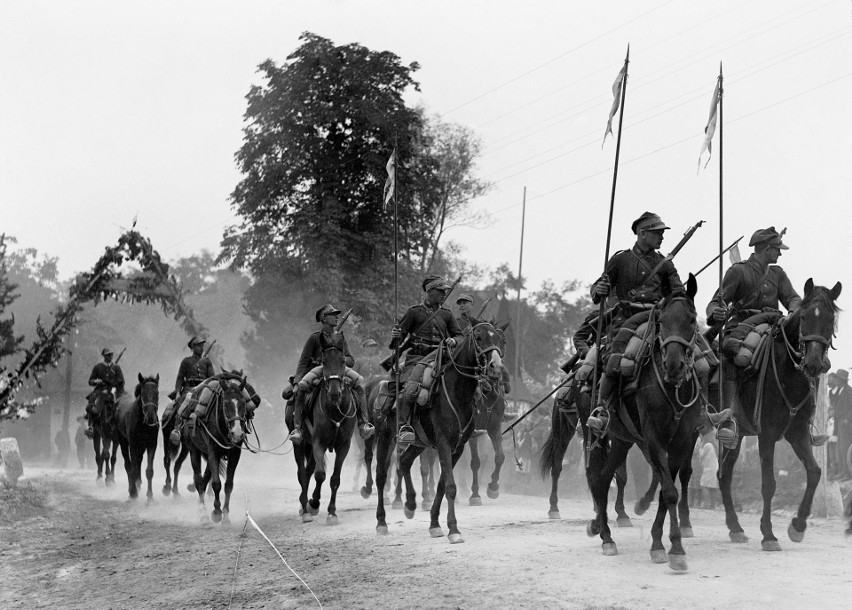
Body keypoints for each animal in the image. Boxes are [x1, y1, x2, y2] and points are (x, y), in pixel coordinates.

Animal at [180, 372, 246, 520]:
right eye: (226, 404)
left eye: (244, 403)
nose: (237, 433)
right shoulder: (213, 452)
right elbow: (216, 483)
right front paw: (216, 512)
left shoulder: (235, 454)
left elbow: (228, 485)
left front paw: (225, 515)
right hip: (194, 450)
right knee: (198, 479)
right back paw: (203, 513)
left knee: (204, 479)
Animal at [290, 332, 356, 524]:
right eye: (324, 362)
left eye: (343, 361)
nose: (334, 393)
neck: (334, 408)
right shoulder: (318, 442)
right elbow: (320, 475)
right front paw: (314, 504)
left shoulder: (344, 446)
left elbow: (334, 479)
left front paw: (332, 513)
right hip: (301, 444)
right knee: (302, 473)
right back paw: (305, 509)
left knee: (308, 470)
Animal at [374, 320, 506, 540]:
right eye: (479, 337)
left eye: (498, 338)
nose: (495, 367)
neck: (456, 393)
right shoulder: (444, 443)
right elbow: (450, 486)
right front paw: (453, 529)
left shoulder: (457, 447)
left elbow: (442, 485)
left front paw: (435, 524)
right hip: (385, 437)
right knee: (381, 475)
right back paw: (381, 522)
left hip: (418, 442)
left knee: (405, 461)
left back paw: (410, 504)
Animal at [588, 276, 704, 568]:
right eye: (661, 320)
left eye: (691, 319)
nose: (673, 365)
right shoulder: (654, 439)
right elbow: (669, 491)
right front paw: (674, 549)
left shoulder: (682, 441)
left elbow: (666, 490)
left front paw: (661, 543)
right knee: (599, 479)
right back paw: (606, 538)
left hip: (622, 441)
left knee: (604, 478)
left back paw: (604, 530)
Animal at [716, 278, 844, 548]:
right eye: (804, 316)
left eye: (831, 319)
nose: (814, 363)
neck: (788, 374)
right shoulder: (767, 435)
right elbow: (769, 484)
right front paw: (768, 534)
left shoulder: (797, 433)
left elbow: (815, 472)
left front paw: (798, 526)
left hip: (735, 437)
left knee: (724, 475)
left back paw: (735, 528)